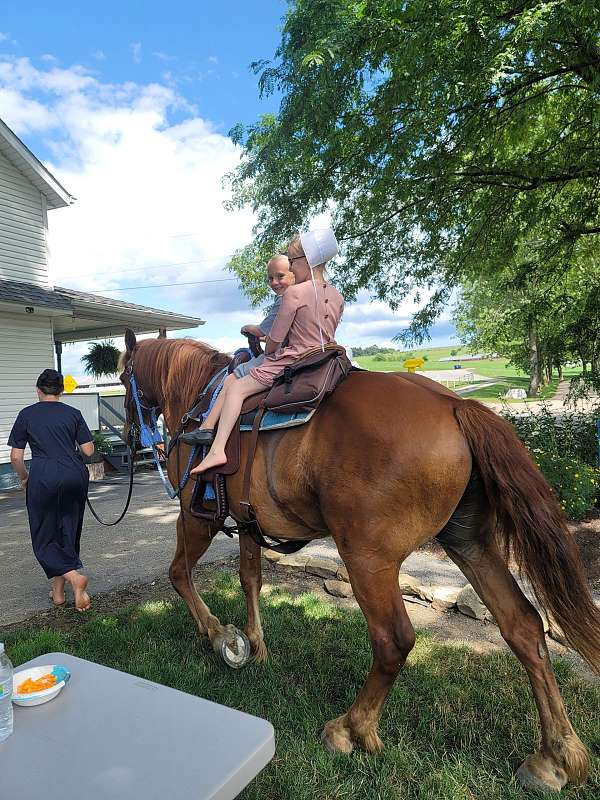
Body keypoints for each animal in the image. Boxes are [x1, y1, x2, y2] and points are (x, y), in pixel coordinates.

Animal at [118, 332, 600, 792]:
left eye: (123, 378)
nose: (129, 436)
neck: (199, 397)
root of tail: (454, 405)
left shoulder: (197, 517)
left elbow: (179, 575)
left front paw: (221, 636)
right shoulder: (247, 521)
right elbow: (250, 577)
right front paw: (255, 646)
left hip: (368, 558)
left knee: (394, 640)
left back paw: (349, 729)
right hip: (470, 543)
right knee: (523, 625)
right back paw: (555, 756)